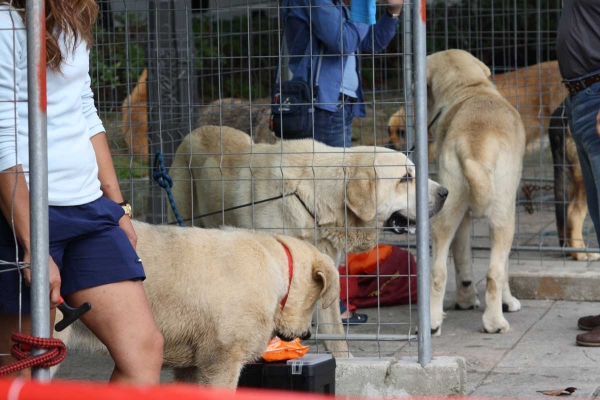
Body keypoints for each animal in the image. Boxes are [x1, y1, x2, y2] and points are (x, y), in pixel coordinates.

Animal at [426, 50, 524, 336]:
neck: (469, 89)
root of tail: (474, 143)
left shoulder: (463, 219)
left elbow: (463, 262)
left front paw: (465, 301)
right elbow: (504, 268)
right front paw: (508, 302)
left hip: (446, 211)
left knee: (438, 271)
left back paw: (433, 322)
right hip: (505, 217)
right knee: (494, 272)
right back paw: (495, 323)